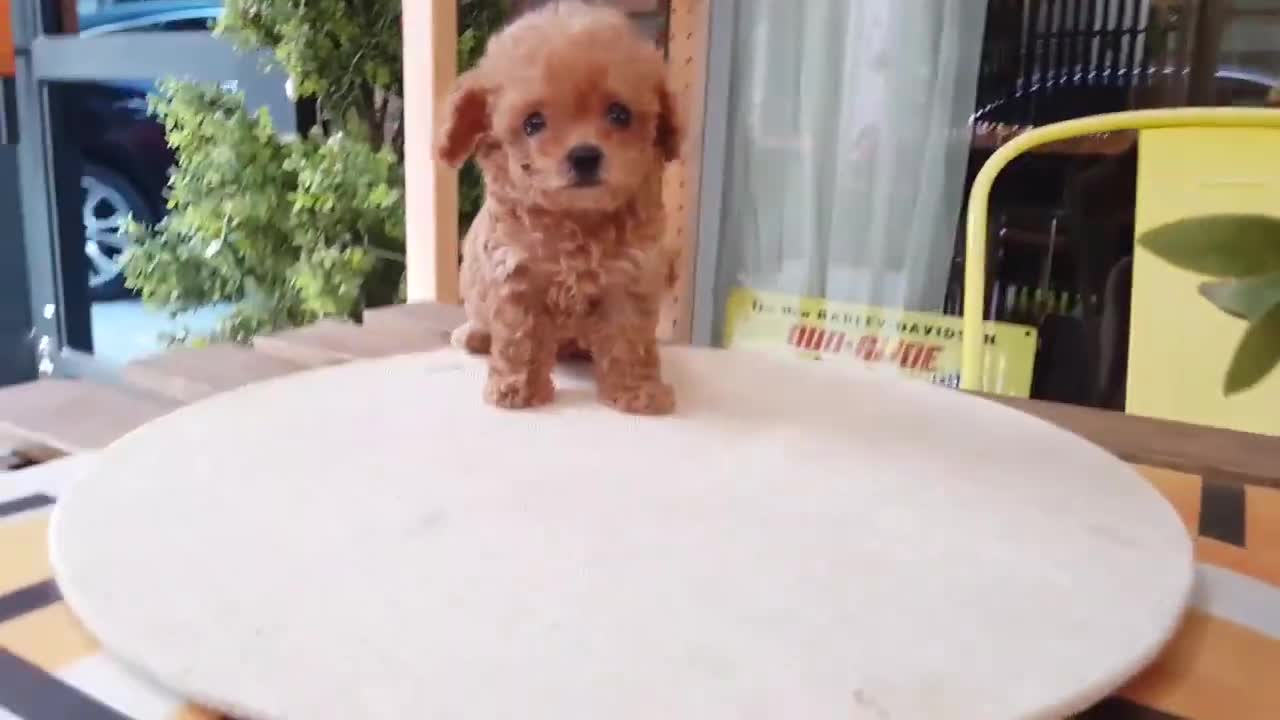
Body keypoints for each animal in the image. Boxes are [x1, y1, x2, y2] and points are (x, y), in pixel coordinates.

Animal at [437, 0, 686, 412]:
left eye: (620, 114)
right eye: (533, 123)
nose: (584, 156)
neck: (577, 220)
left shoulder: (630, 277)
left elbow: (630, 340)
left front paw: (638, 392)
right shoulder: (517, 274)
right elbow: (519, 339)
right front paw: (516, 390)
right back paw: (474, 336)